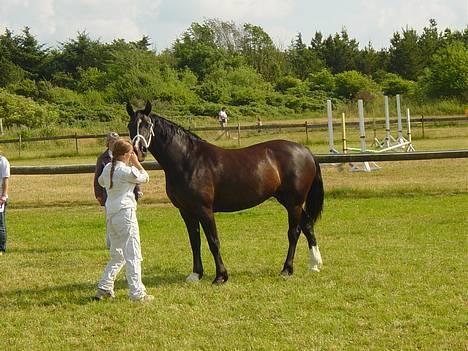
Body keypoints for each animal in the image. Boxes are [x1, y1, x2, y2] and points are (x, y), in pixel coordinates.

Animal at [128, 101, 326, 284]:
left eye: (147, 124)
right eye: (130, 126)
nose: (138, 150)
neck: (188, 160)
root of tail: (305, 150)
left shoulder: (205, 210)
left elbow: (213, 242)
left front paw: (220, 276)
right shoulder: (186, 211)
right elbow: (195, 242)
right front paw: (196, 274)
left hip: (294, 203)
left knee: (294, 232)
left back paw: (287, 269)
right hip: (289, 201)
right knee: (308, 225)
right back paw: (314, 265)